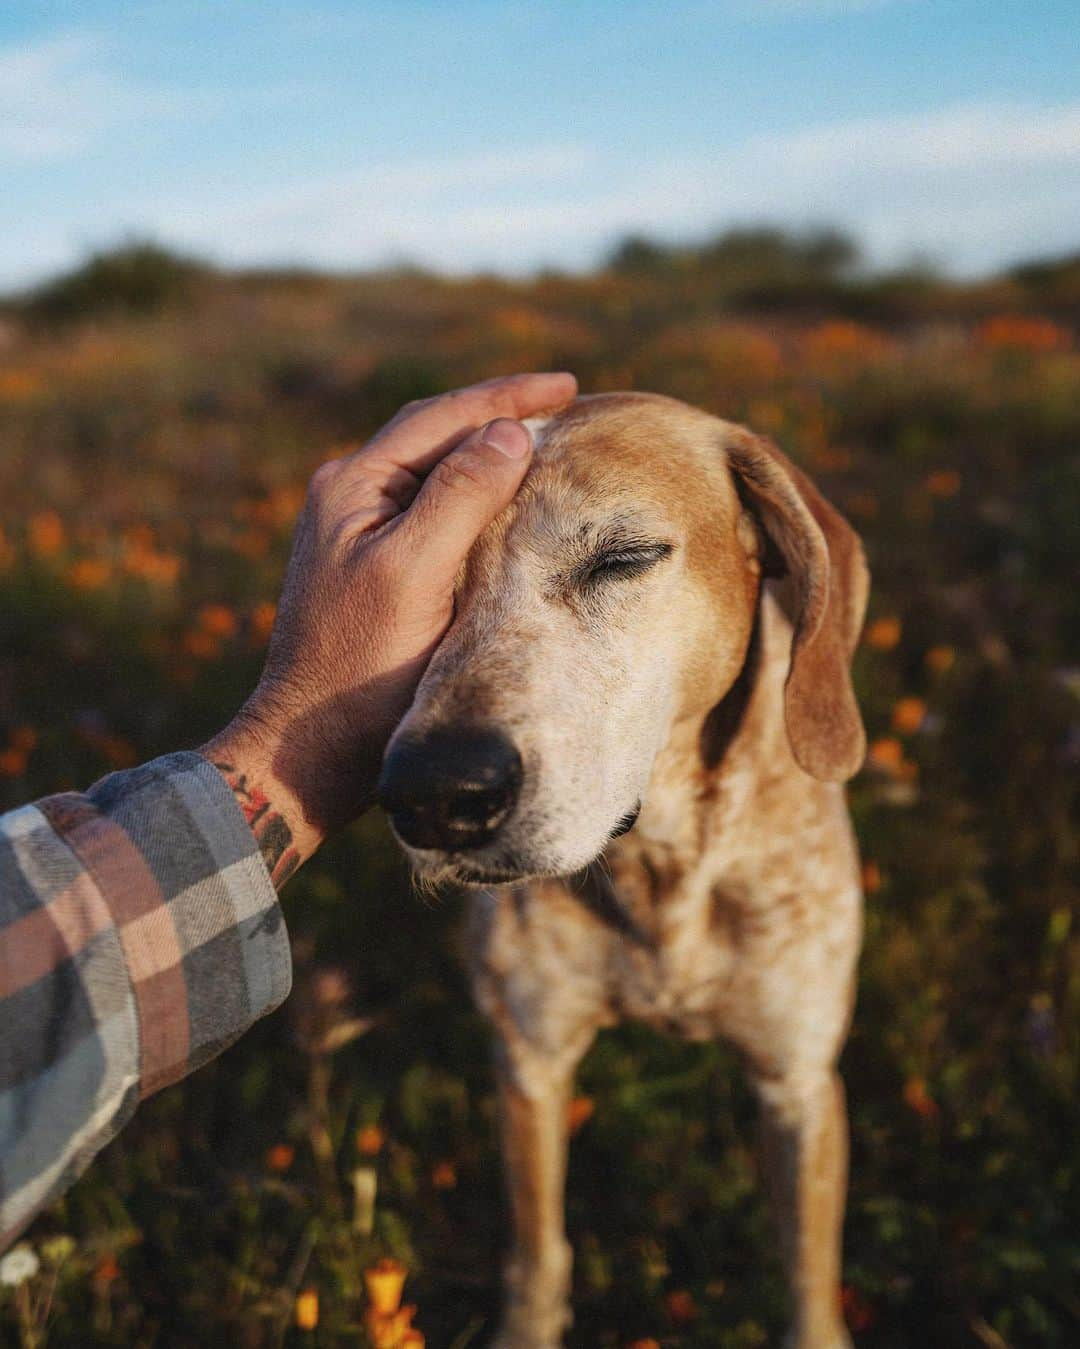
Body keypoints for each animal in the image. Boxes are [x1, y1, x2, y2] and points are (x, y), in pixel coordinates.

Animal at [380, 393, 868, 1349]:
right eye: (423, 576)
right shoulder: (529, 1058)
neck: (660, 869)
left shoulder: (798, 1085)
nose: (433, 794)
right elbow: (537, 1253)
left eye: (624, 557)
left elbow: (807, 1281)